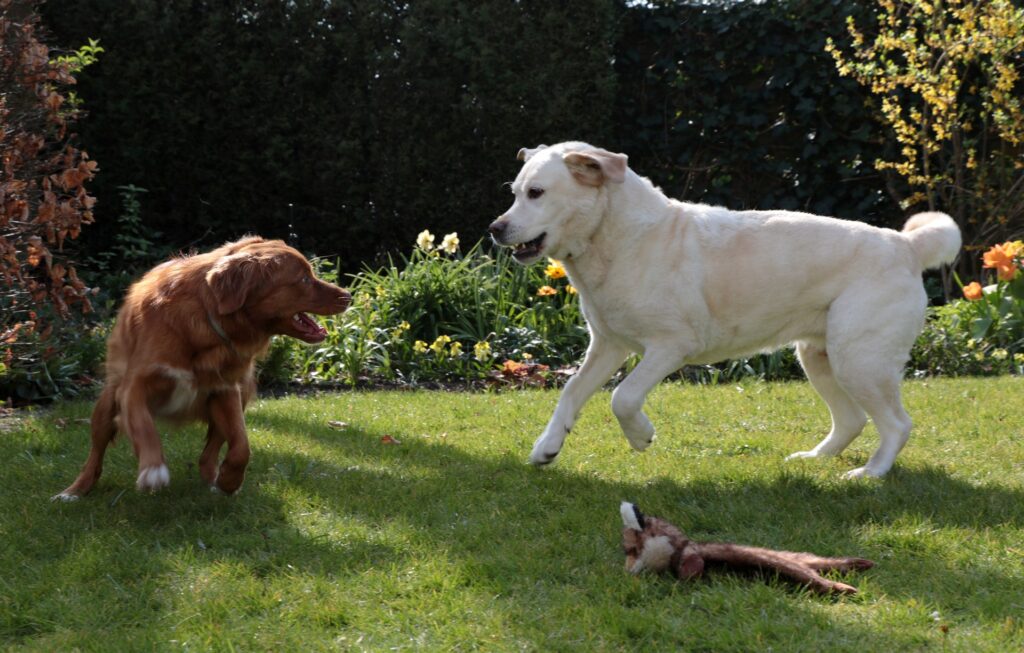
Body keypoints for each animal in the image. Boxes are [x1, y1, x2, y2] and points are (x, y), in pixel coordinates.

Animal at [52, 236, 352, 501]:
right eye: (303, 279)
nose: (348, 295)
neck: (208, 320)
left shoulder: (225, 389)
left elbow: (241, 446)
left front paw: (230, 481)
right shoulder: (134, 386)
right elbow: (144, 426)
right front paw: (152, 469)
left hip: (240, 394)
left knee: (209, 452)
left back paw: (215, 481)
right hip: (105, 406)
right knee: (95, 454)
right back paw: (73, 491)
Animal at [487, 143, 958, 479]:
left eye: (536, 193)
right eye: (514, 193)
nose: (494, 229)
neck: (617, 239)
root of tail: (907, 244)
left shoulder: (670, 345)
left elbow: (624, 397)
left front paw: (642, 438)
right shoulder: (607, 345)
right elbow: (570, 392)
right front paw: (547, 447)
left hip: (859, 359)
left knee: (897, 424)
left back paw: (870, 473)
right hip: (821, 357)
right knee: (852, 419)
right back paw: (814, 458)